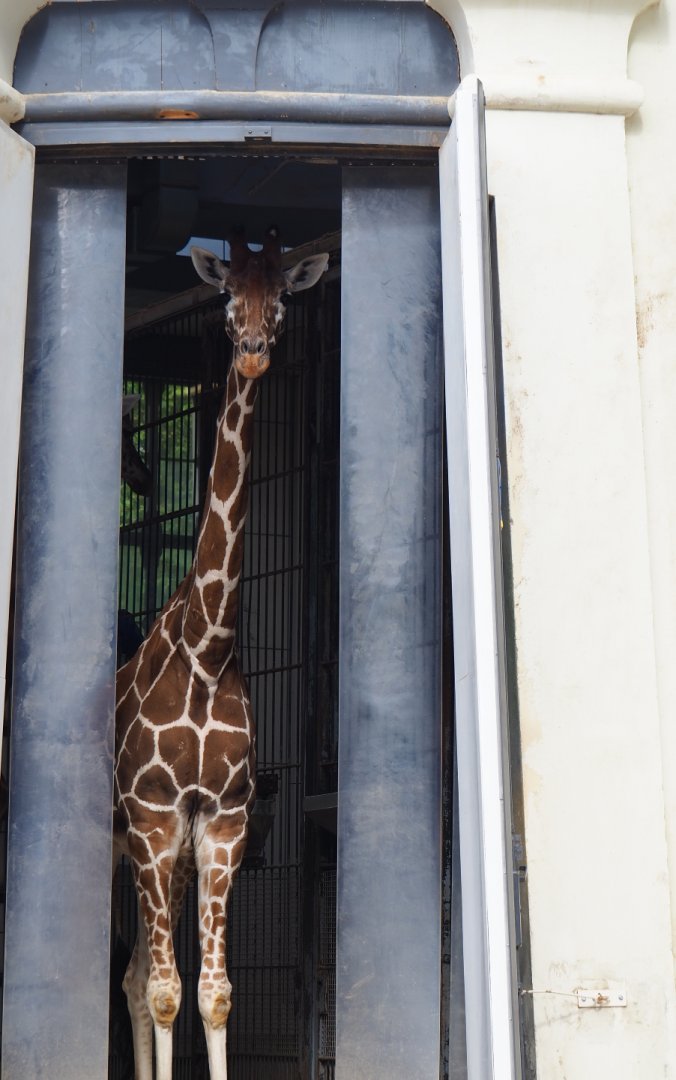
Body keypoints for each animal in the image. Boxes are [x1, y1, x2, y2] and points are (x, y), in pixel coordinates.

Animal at [113, 227, 329, 1080]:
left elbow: (214, 994)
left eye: (286, 296)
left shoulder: (223, 822)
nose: (255, 352)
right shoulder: (153, 816)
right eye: (228, 293)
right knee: (138, 979)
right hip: (129, 848)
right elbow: (168, 991)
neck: (208, 649)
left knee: (135, 975)